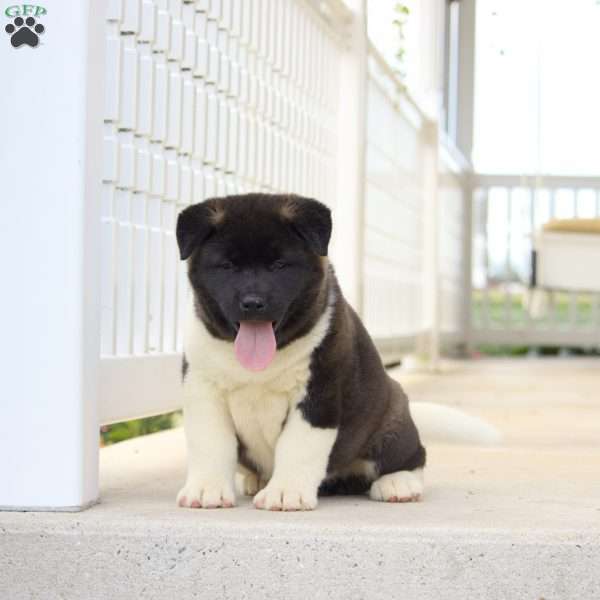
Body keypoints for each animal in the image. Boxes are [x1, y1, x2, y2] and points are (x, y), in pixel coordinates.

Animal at [176, 193, 424, 510]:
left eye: (280, 265)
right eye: (227, 266)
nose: (252, 303)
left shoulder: (318, 396)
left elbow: (298, 446)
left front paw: (286, 492)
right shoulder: (203, 388)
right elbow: (210, 441)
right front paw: (207, 489)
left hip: (394, 414)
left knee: (413, 457)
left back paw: (399, 483)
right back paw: (256, 479)